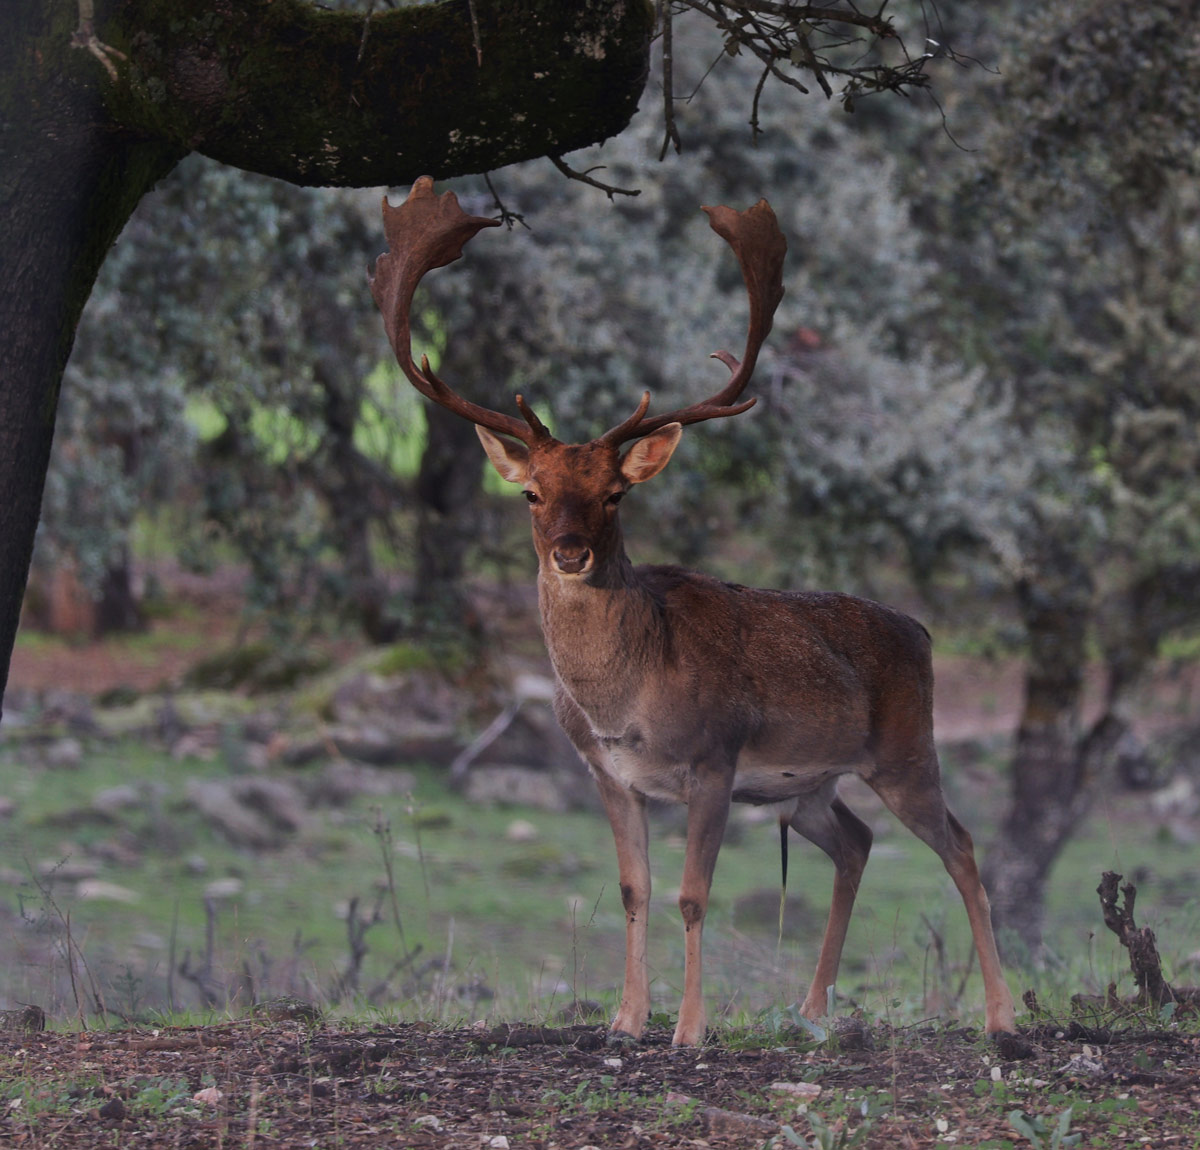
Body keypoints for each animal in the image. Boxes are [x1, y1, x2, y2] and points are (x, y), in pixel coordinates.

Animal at [364, 175, 1012, 1046]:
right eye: (532, 493)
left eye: (614, 493)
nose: (571, 554)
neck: (623, 703)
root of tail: (924, 633)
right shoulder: (608, 774)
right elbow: (634, 891)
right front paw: (625, 1018)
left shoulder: (714, 758)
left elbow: (693, 895)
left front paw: (690, 1027)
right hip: (808, 784)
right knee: (855, 842)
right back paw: (812, 1008)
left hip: (907, 750)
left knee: (963, 845)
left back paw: (1001, 1013)